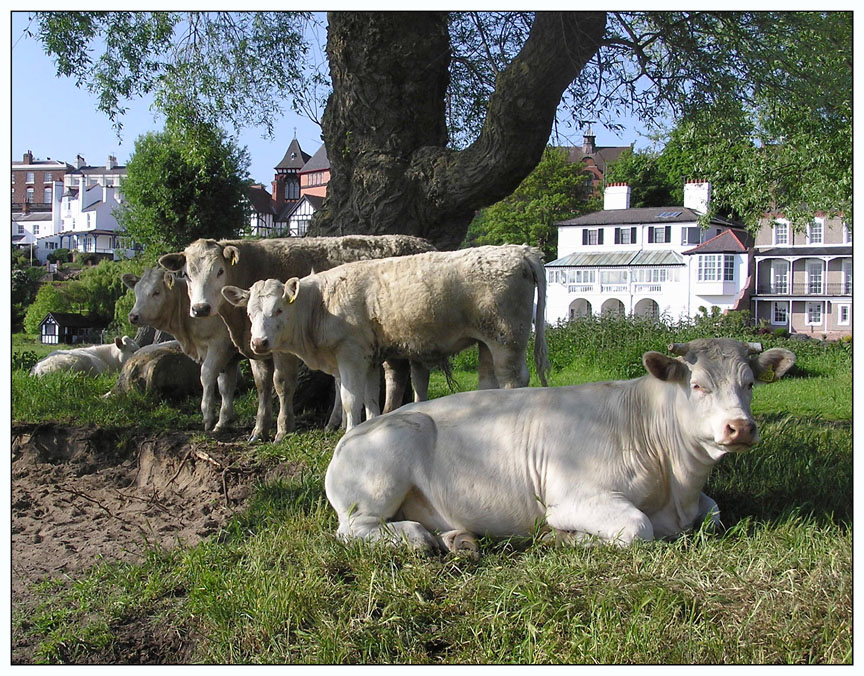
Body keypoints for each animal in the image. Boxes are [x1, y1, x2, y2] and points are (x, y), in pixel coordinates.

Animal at [122, 268, 243, 432]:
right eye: (136, 292)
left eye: (156, 292)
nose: (133, 316)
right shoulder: (228, 356)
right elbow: (225, 386)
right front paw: (223, 421)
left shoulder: (219, 345)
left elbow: (207, 376)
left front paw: (208, 417)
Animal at [158, 235, 436, 441]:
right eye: (186, 274)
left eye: (218, 271)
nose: (201, 308)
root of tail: (423, 242)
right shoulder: (255, 346)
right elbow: (262, 386)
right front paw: (259, 430)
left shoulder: (282, 347)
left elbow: (282, 383)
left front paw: (283, 429)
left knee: (396, 375)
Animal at [221, 244, 550, 431]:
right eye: (249, 313)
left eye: (278, 309)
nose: (258, 343)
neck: (320, 304)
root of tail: (520, 251)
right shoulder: (368, 359)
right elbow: (370, 400)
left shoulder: (351, 355)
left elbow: (351, 400)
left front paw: (348, 433)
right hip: (486, 341)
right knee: (487, 382)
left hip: (507, 337)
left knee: (514, 381)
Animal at [323, 338, 795, 555]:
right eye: (697, 385)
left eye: (750, 384)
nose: (740, 428)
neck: (676, 486)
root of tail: (351, 434)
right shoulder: (573, 497)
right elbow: (637, 529)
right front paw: (570, 538)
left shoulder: (697, 503)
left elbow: (714, 515)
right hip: (381, 478)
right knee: (357, 529)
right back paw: (419, 536)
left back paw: (458, 539)